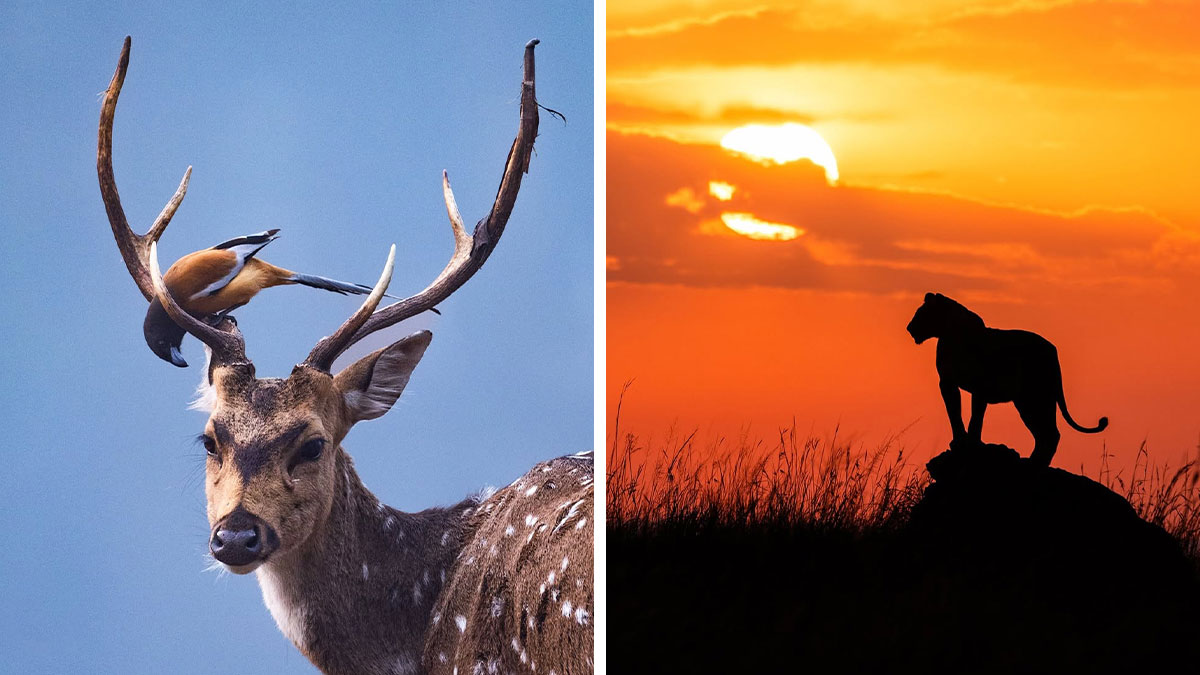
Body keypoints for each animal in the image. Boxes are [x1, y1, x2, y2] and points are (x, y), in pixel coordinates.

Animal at [907, 292, 1107, 466]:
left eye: (922, 313)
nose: (909, 328)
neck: (951, 337)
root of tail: (1053, 351)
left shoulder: (980, 386)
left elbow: (976, 417)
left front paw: (972, 443)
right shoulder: (948, 383)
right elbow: (954, 412)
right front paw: (959, 441)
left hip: (1038, 397)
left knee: (1051, 433)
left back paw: (1035, 463)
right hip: (1027, 402)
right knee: (1045, 433)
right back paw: (1034, 461)